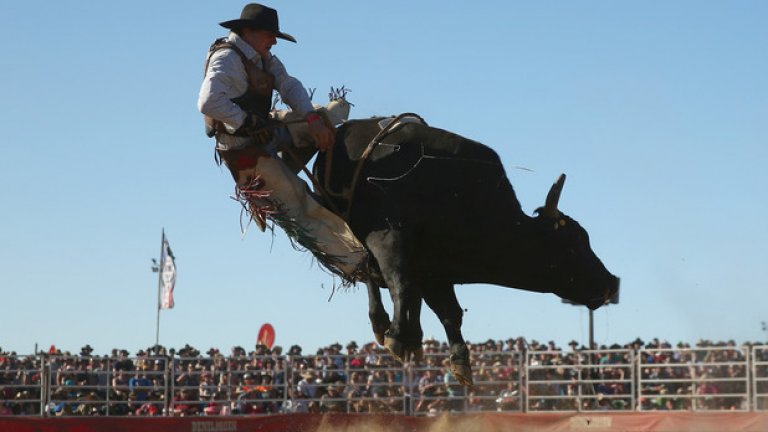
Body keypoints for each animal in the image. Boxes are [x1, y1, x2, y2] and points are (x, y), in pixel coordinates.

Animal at [312, 117, 616, 384]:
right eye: (573, 244)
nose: (610, 283)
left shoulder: (435, 269)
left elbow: (448, 311)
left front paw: (458, 361)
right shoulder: (387, 239)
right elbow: (402, 286)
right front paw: (397, 337)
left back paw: (411, 337)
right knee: (369, 274)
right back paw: (384, 324)